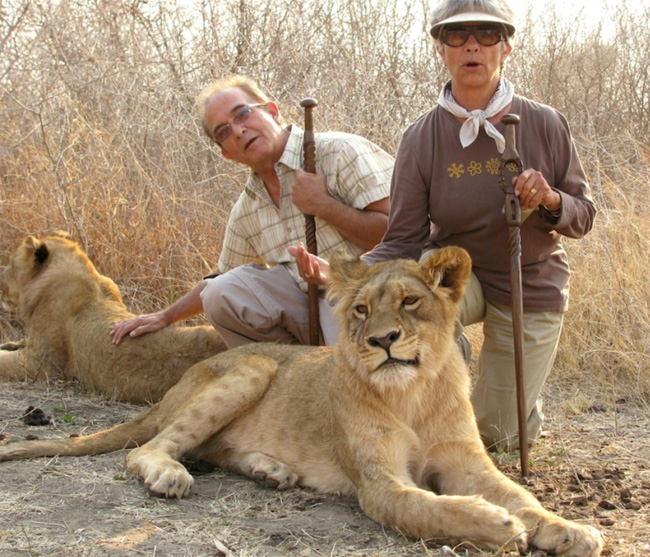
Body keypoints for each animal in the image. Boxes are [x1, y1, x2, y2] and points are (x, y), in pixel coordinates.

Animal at [0, 250, 604, 552]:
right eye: (361, 310)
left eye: (409, 302)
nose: (383, 340)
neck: (411, 392)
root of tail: (178, 382)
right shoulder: (379, 484)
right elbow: (430, 506)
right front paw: (495, 524)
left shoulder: (467, 461)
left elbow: (521, 494)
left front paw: (568, 529)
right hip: (253, 366)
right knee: (148, 449)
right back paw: (171, 476)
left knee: (209, 449)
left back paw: (271, 471)